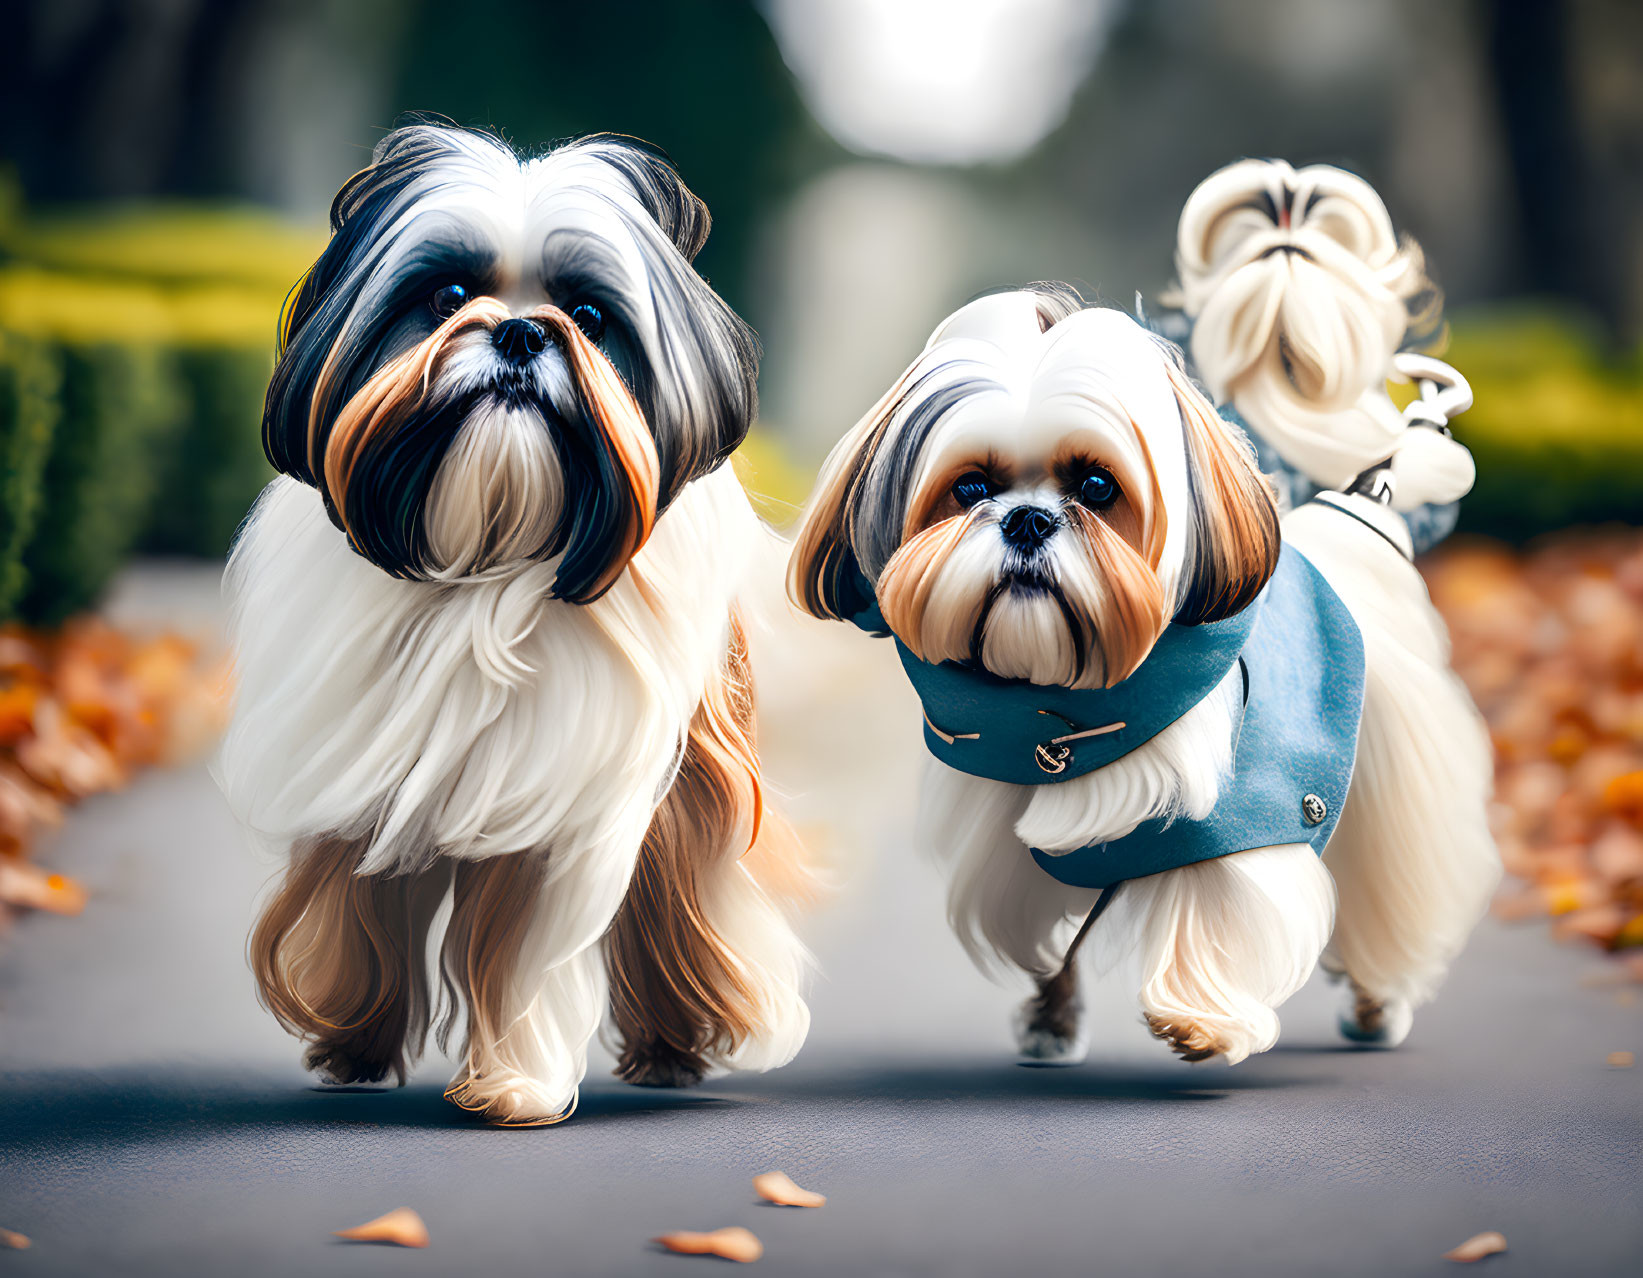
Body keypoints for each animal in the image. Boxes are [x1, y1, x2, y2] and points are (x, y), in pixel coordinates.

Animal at [218, 124, 808, 1123]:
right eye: (447, 297)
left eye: (590, 315)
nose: (522, 329)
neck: (487, 551)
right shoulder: (358, 765)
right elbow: (352, 904)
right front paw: (351, 1037)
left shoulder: (564, 803)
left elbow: (525, 944)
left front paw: (516, 1085)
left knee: (676, 905)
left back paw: (674, 1044)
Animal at [788, 290, 1498, 1064]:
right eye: (970, 486)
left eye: (1097, 486)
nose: (1028, 519)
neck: (1063, 709)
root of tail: (1361, 517)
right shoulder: (1016, 857)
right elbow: (1053, 941)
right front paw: (1051, 1018)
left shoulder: (1239, 820)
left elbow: (1217, 909)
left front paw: (1201, 1017)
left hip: (1387, 791)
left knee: (1386, 901)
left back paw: (1376, 1005)